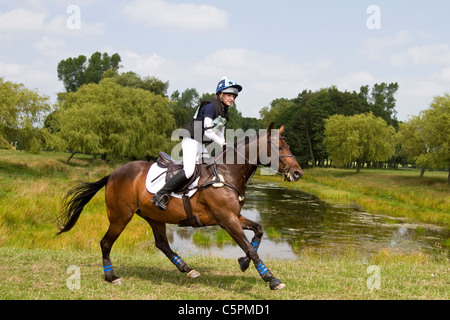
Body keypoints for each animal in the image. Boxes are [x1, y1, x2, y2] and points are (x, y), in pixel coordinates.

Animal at [56, 124, 302, 292]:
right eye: (279, 147)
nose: (298, 173)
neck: (227, 174)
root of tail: (113, 174)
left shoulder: (235, 216)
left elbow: (258, 231)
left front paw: (243, 263)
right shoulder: (227, 219)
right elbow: (249, 248)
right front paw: (271, 279)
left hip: (154, 217)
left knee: (162, 244)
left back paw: (187, 268)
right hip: (120, 217)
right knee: (106, 242)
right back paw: (111, 277)